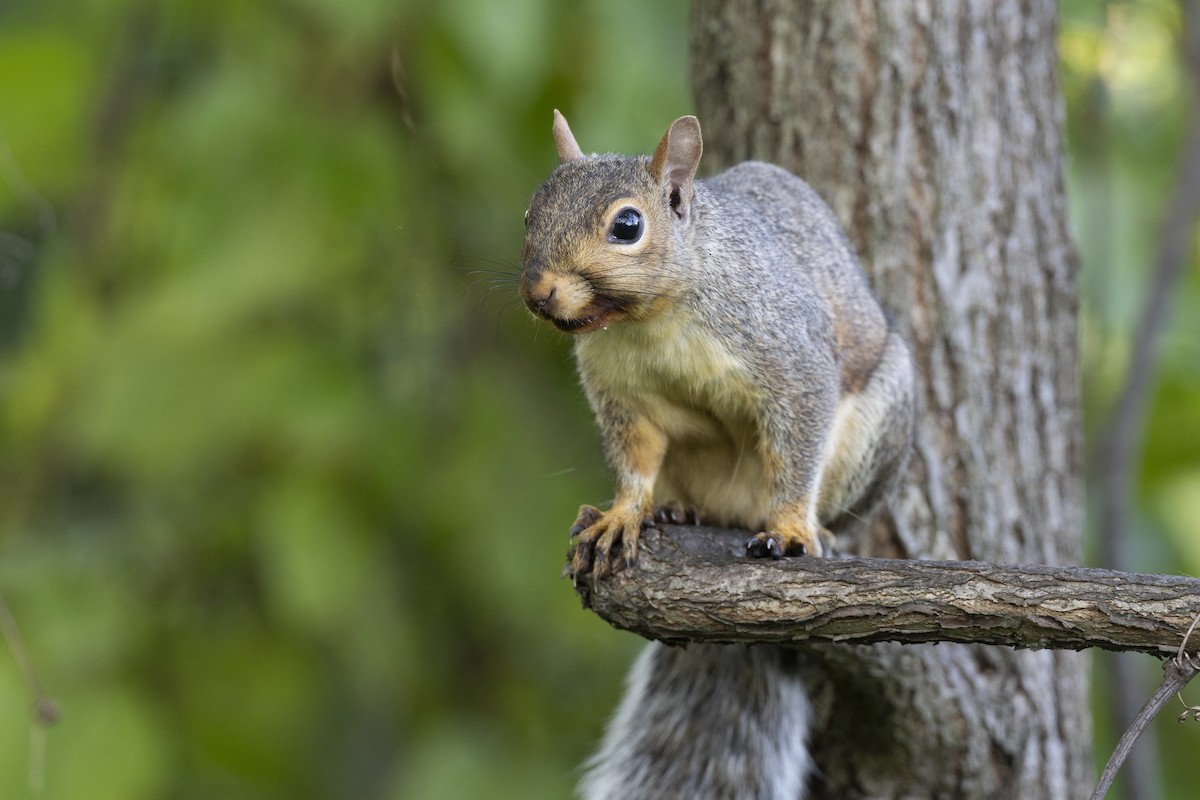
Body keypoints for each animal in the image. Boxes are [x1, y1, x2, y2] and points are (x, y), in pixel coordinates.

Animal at [520, 111, 915, 799]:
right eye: (528, 213)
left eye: (628, 226)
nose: (537, 292)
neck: (651, 320)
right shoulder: (620, 394)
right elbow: (634, 460)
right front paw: (623, 515)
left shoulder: (792, 355)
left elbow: (799, 434)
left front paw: (791, 528)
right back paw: (677, 512)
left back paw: (818, 531)